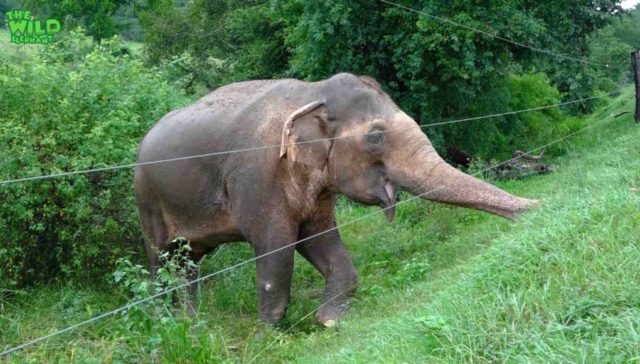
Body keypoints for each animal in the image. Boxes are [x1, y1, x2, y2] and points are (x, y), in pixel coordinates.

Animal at [136, 72, 540, 326]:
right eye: (376, 137)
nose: (540, 208)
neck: (310, 93)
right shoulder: (255, 176)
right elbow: (276, 249)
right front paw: (269, 334)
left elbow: (319, 240)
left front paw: (329, 319)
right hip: (147, 200)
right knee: (161, 261)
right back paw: (168, 324)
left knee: (187, 264)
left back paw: (192, 324)